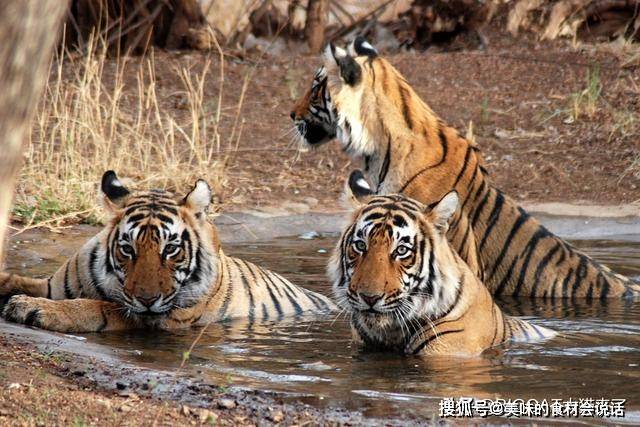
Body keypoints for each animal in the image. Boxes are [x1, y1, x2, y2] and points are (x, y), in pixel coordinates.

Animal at [0, 171, 335, 333]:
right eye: (127, 249)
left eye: (171, 249)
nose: (147, 299)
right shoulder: (52, 285)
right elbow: (16, 280)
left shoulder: (158, 318)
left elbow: (98, 307)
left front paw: (33, 308)